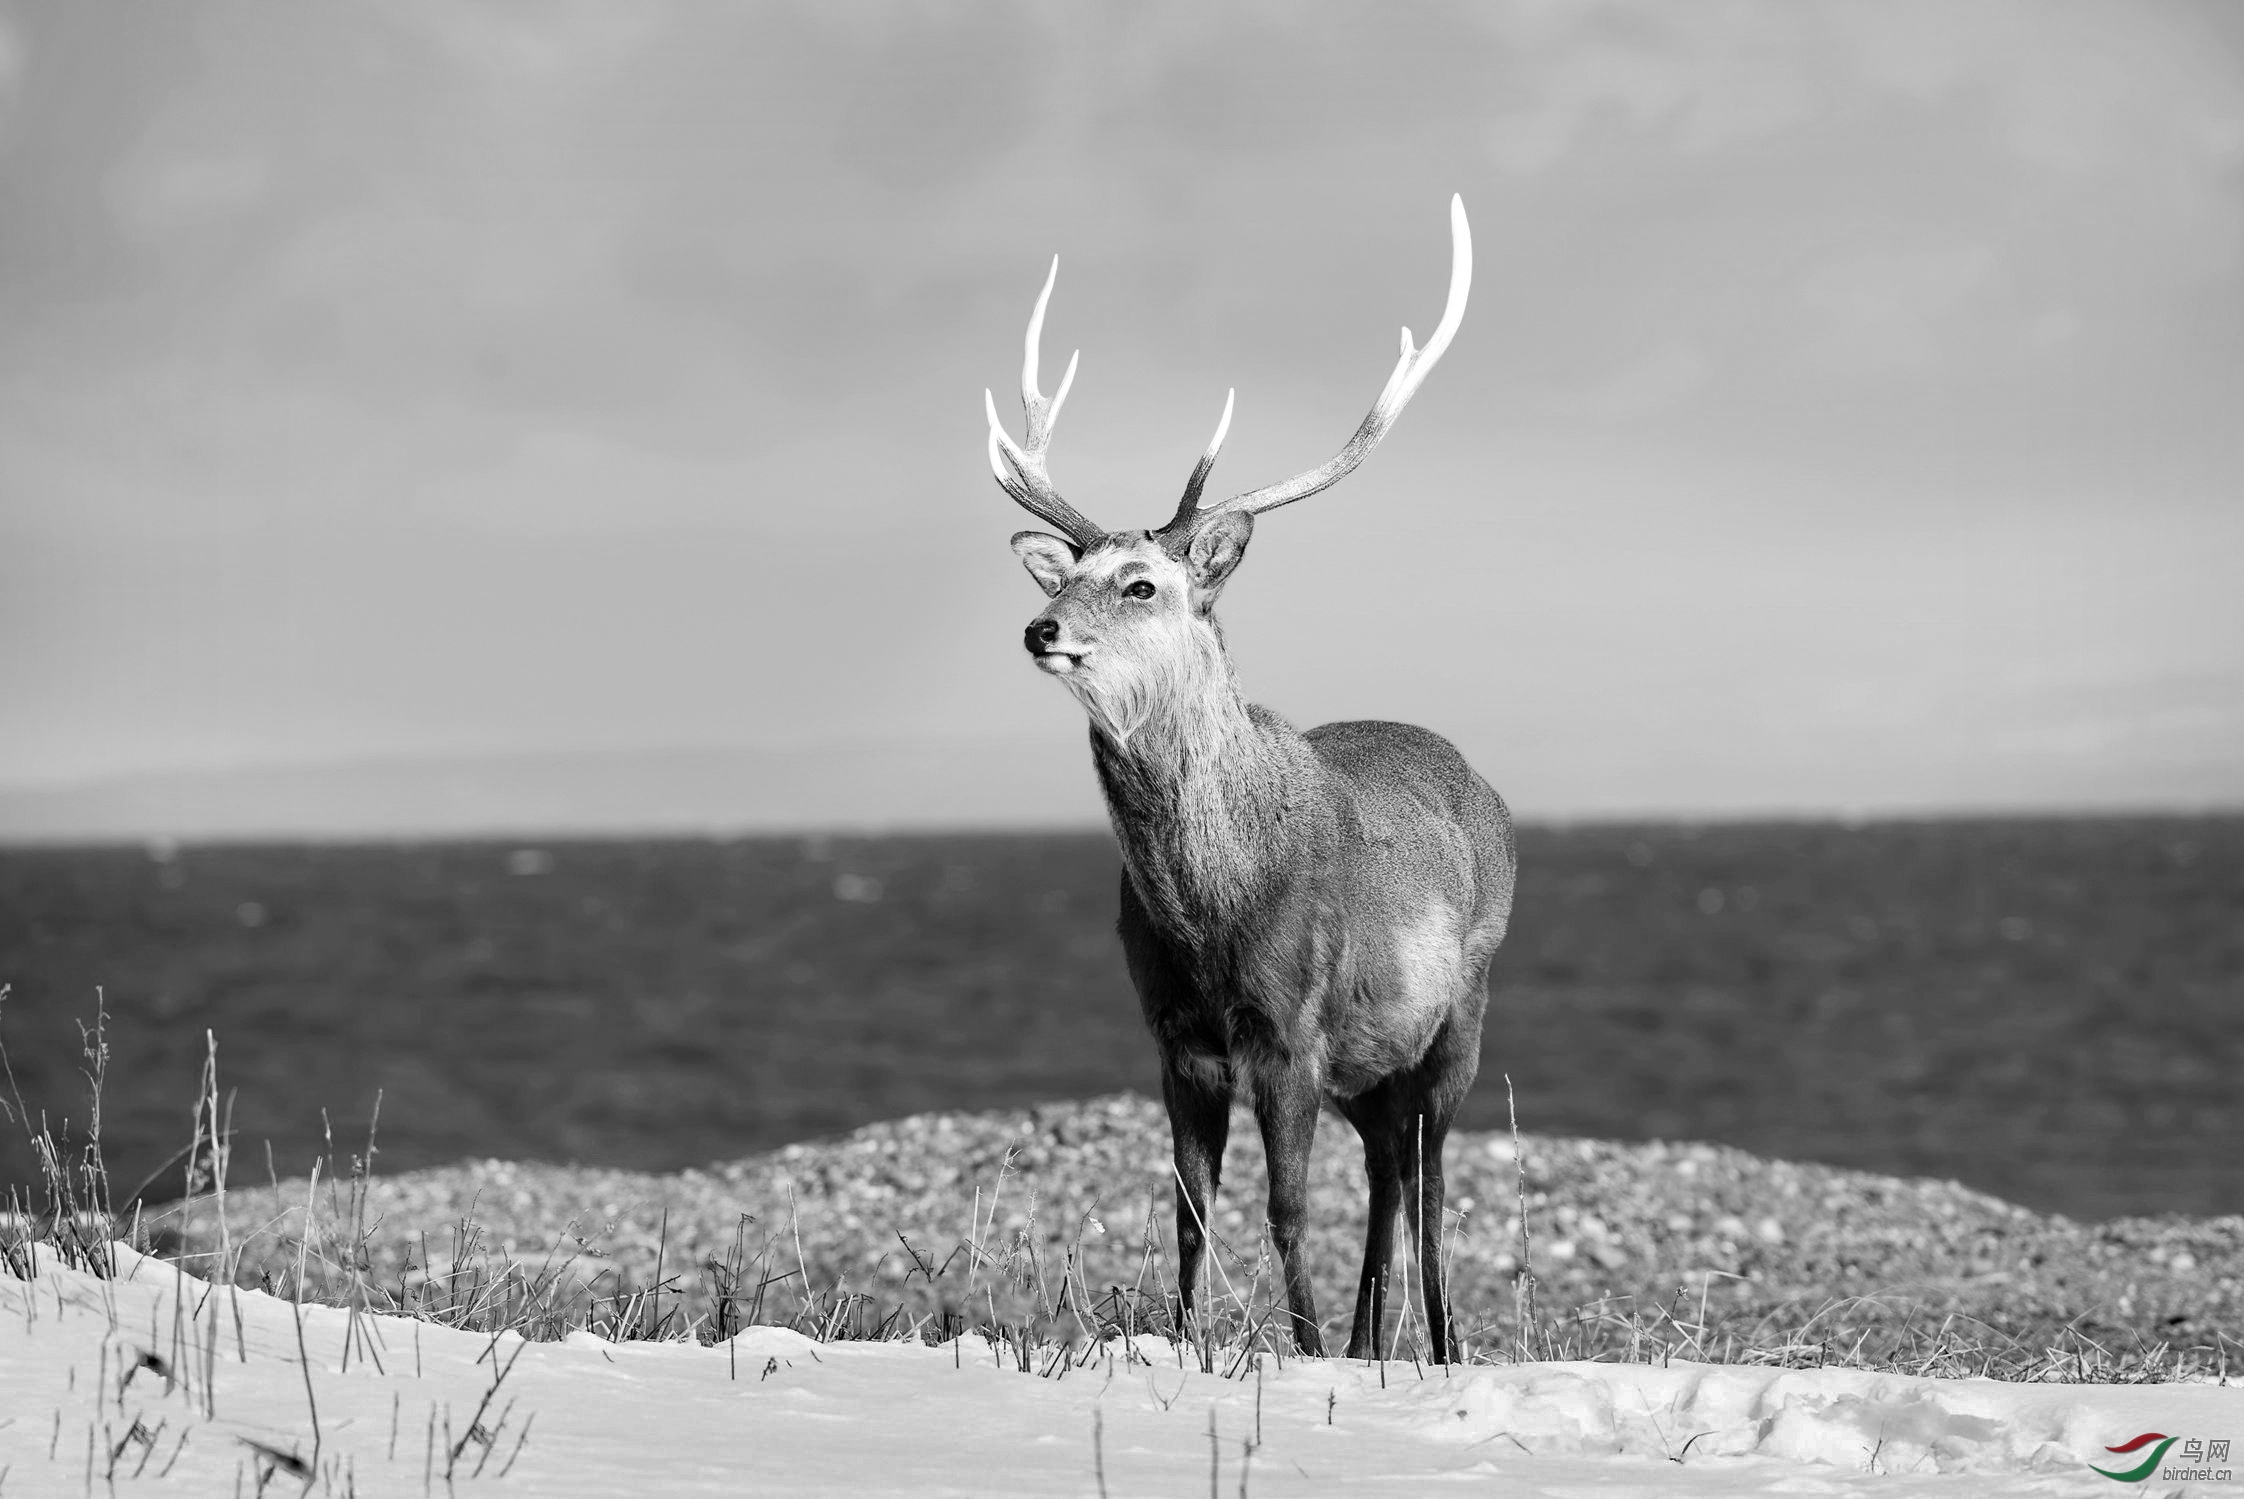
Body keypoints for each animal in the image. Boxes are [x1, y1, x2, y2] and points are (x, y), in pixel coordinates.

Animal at [987, 196, 1525, 1355]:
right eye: (1070, 575)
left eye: (1143, 584)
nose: (1041, 629)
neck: (1208, 913)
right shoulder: (1175, 1036)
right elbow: (1191, 1206)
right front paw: (1191, 1343)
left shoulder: (1292, 1027)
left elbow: (1283, 1206)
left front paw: (1306, 1349)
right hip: (1371, 1058)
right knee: (1388, 1167)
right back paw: (1375, 1345)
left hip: (1461, 1006)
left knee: (1432, 1176)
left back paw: (1435, 1343)